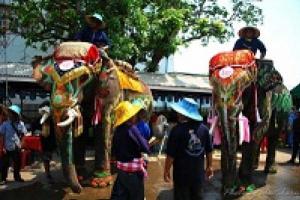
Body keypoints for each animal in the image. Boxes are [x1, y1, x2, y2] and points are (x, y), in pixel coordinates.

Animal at [32, 41, 152, 192]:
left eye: (84, 78)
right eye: (51, 79)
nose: (80, 189)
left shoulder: (110, 93)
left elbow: (103, 127)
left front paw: (100, 183)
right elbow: (80, 130)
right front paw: (81, 176)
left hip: (147, 108)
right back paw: (114, 161)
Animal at [210, 50, 292, 197]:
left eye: (245, 89)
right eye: (212, 88)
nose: (233, 191)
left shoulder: (262, 97)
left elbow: (253, 130)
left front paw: (244, 183)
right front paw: (229, 189)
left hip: (284, 112)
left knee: (272, 136)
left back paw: (270, 170)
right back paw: (254, 166)